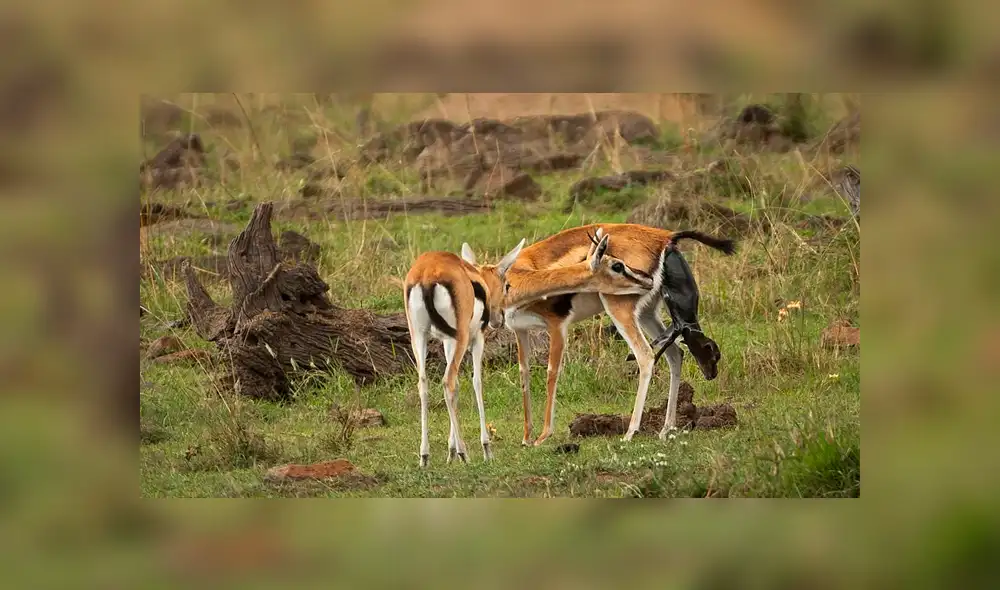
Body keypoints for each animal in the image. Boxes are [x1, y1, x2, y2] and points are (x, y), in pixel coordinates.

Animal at [404, 233, 652, 468]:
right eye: (617, 265)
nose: (648, 280)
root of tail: (427, 276)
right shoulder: (478, 337)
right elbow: (478, 381)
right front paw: (485, 449)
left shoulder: (451, 340)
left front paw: (451, 452)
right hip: (459, 336)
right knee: (449, 381)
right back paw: (466, 454)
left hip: (419, 337)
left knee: (424, 384)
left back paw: (425, 457)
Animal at [502, 223, 737, 446]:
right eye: (616, 265)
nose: (646, 280)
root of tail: (666, 238)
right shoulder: (520, 330)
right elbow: (524, 373)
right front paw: (526, 438)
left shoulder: (557, 325)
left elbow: (552, 372)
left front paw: (542, 437)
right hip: (647, 314)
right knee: (675, 354)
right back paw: (665, 429)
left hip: (620, 309)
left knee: (646, 356)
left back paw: (630, 433)